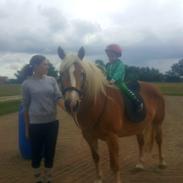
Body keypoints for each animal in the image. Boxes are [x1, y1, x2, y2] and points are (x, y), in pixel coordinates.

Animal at [56, 46, 166, 182]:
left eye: (82, 73)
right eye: (61, 74)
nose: (72, 103)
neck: (97, 104)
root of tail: (155, 88)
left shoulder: (112, 137)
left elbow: (115, 164)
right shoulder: (89, 137)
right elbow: (96, 157)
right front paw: (98, 178)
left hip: (158, 123)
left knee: (159, 140)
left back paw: (161, 163)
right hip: (139, 126)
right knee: (141, 142)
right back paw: (140, 164)